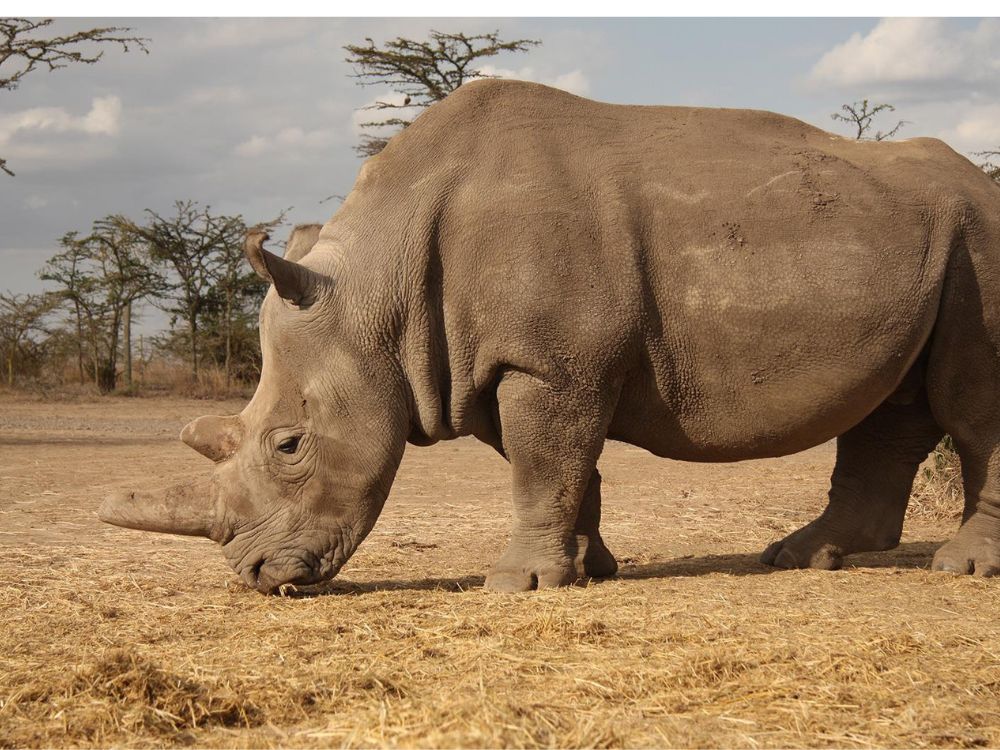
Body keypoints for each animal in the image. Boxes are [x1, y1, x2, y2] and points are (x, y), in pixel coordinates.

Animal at [101, 76, 1000, 592]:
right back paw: (804, 558)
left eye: (289, 445)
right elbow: (561, 467)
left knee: (973, 403)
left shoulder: (547, 364)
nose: (254, 576)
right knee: (896, 403)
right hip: (925, 245)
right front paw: (585, 571)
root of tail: (981, 183)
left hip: (981, 238)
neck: (376, 294)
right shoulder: (507, 362)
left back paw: (962, 570)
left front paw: (515, 586)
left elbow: (544, 464)